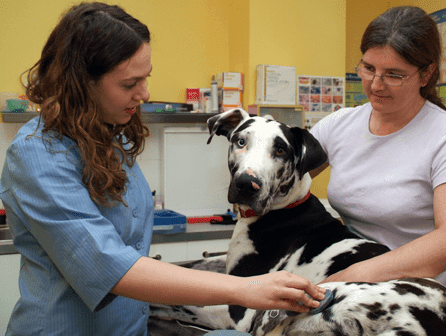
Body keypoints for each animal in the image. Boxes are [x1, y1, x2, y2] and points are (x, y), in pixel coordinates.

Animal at [150, 109, 446, 334]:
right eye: (240, 141)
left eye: (281, 149)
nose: (247, 184)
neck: (284, 208)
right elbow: (193, 266)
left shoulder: (241, 309)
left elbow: (174, 301)